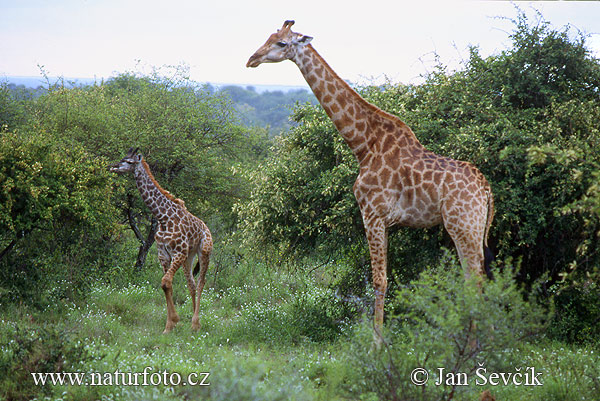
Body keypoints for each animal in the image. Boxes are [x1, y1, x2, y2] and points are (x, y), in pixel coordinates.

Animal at [110, 148, 213, 332]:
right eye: (122, 158)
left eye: (128, 162)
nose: (112, 167)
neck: (163, 217)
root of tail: (207, 229)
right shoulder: (163, 254)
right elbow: (167, 285)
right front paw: (170, 325)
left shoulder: (178, 252)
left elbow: (165, 282)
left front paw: (175, 320)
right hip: (189, 256)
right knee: (192, 284)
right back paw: (193, 322)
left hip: (204, 252)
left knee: (201, 282)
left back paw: (196, 323)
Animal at [245, 19, 492, 338]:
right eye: (269, 37)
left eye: (282, 43)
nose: (252, 59)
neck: (363, 144)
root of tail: (486, 189)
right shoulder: (386, 220)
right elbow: (384, 278)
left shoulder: (372, 213)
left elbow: (379, 280)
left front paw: (377, 343)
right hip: (468, 227)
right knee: (474, 278)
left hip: (463, 225)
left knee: (475, 279)